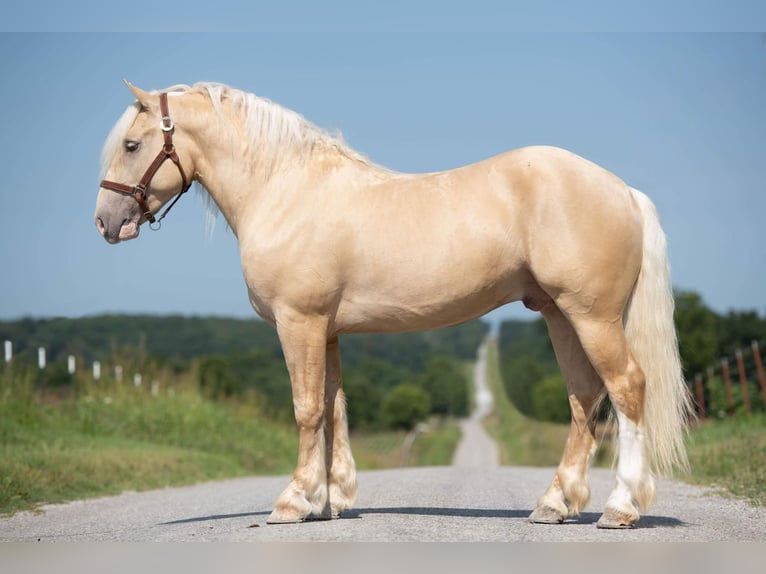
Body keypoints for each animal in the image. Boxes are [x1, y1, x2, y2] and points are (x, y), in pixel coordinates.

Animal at [93, 81, 692, 532]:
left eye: (132, 145)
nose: (106, 222)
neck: (285, 190)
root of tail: (623, 190)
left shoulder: (298, 322)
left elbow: (306, 409)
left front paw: (293, 502)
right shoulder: (327, 330)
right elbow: (334, 407)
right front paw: (329, 501)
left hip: (590, 316)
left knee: (626, 388)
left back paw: (620, 508)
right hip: (558, 314)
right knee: (583, 398)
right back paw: (554, 504)